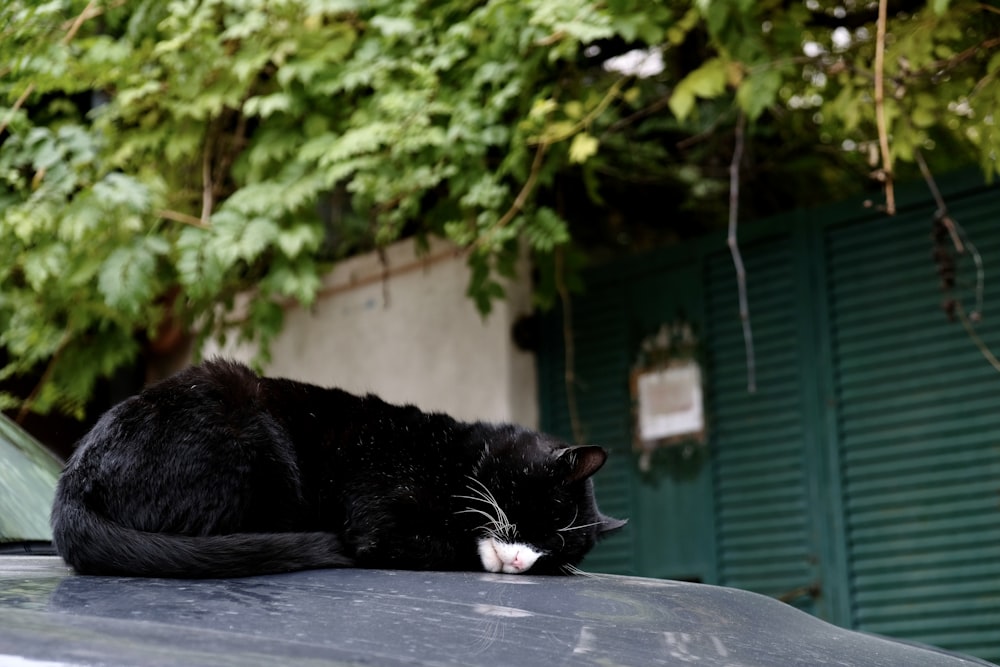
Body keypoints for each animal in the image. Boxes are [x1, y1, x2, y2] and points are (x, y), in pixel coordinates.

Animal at [52, 360, 624, 580]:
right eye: (546, 521)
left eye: (557, 556)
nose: (526, 562)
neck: (459, 459)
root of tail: (72, 483)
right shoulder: (378, 515)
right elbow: (428, 541)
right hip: (253, 436)